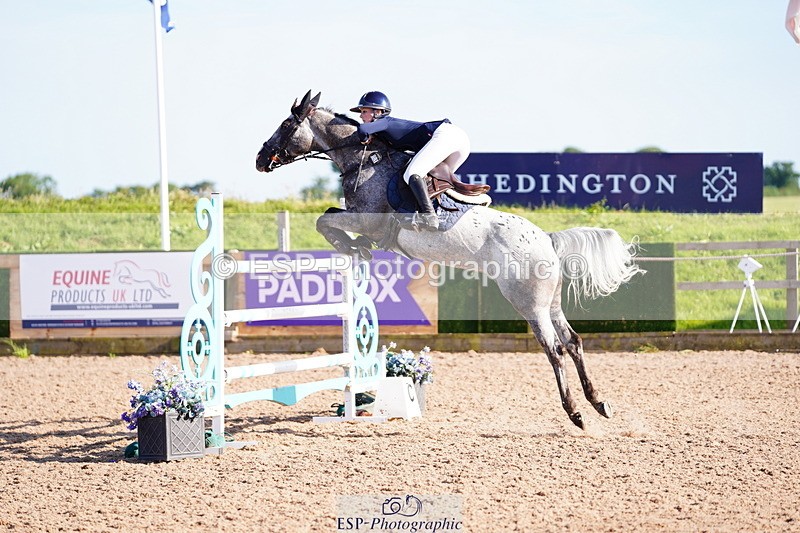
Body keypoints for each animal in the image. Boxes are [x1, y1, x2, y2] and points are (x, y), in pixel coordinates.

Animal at [255, 90, 644, 429]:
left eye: (286, 126)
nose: (260, 159)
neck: (365, 160)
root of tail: (547, 240)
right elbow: (331, 218)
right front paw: (357, 248)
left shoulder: (367, 219)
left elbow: (325, 220)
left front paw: (351, 247)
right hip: (549, 301)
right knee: (573, 342)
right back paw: (599, 403)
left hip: (528, 302)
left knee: (555, 349)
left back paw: (576, 413)